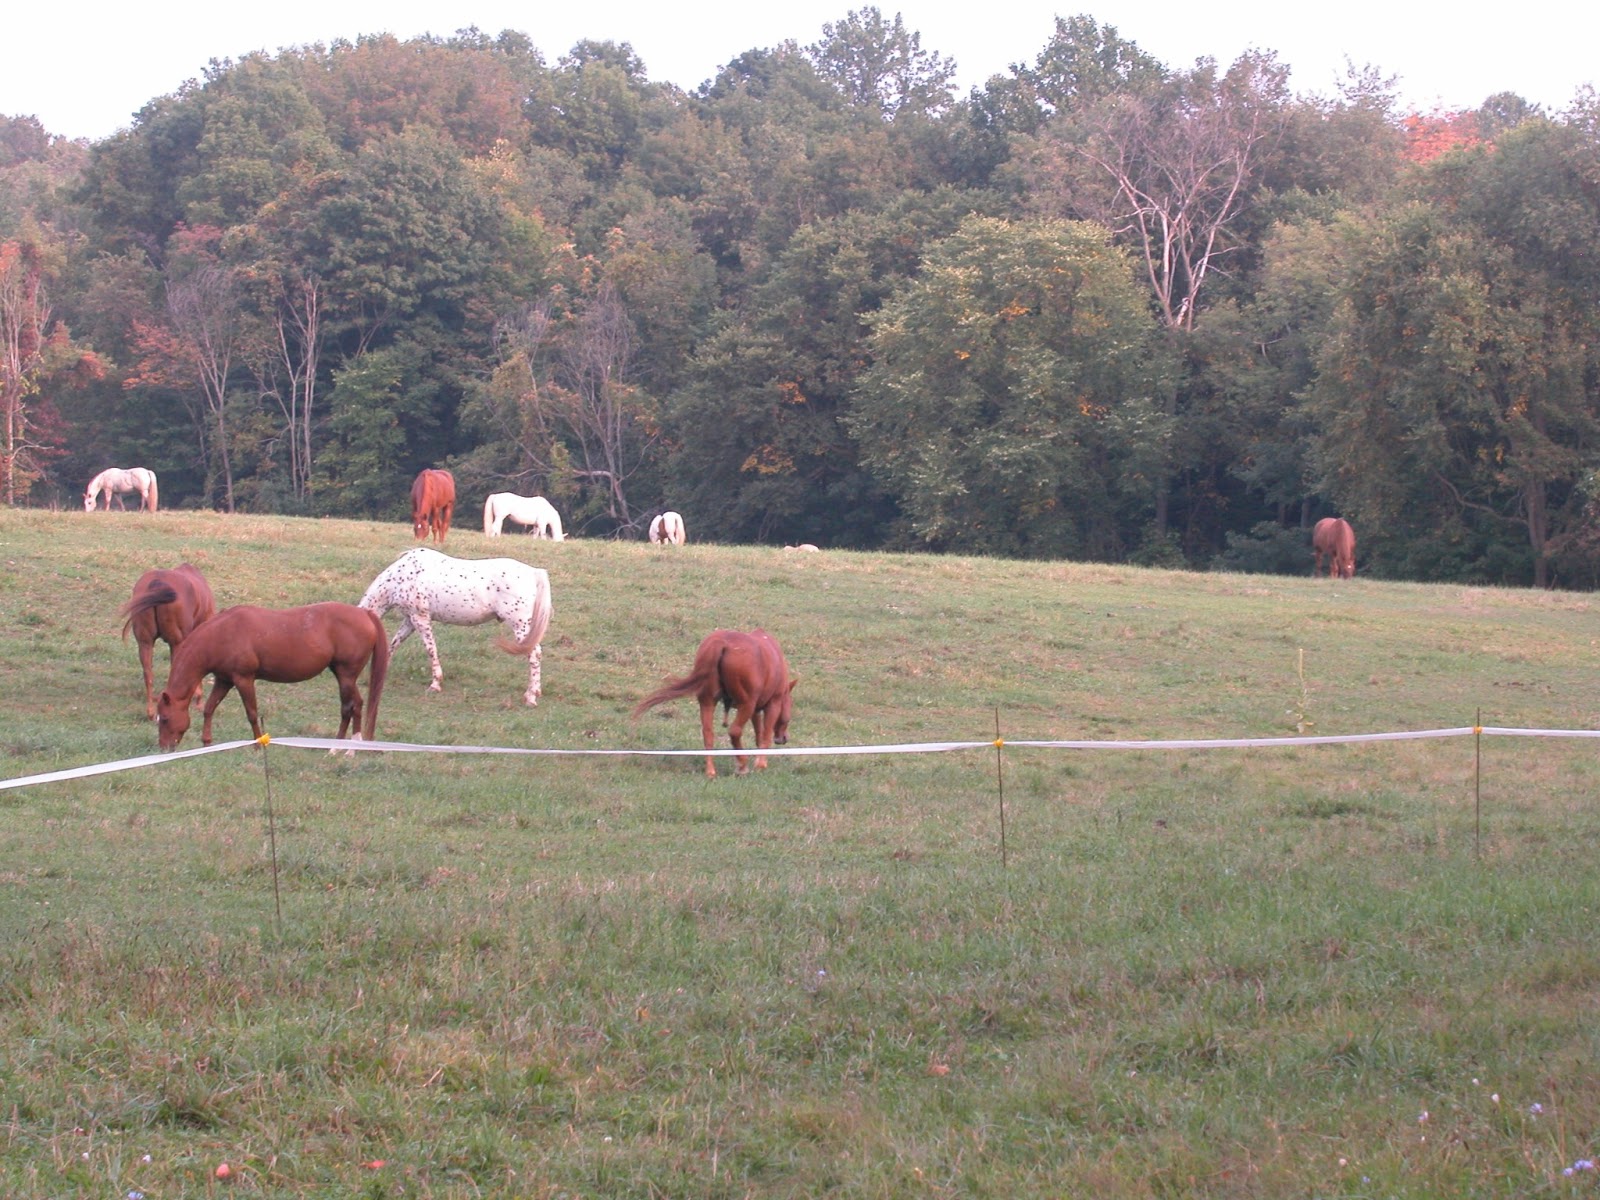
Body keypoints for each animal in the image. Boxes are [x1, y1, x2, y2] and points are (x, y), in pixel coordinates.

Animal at [155, 602, 388, 751]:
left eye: (164, 719)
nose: (165, 748)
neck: (222, 633)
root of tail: (365, 614)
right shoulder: (224, 680)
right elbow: (209, 708)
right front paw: (207, 743)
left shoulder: (243, 679)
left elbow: (251, 713)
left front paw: (257, 746)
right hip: (342, 675)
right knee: (353, 707)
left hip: (346, 675)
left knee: (352, 707)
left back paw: (343, 750)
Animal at [359, 547, 553, 706]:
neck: (401, 576)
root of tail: (533, 572)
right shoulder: (410, 620)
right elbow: (394, 644)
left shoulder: (420, 618)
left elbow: (431, 649)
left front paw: (435, 684)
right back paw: (535, 691)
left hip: (520, 625)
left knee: (534, 654)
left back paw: (530, 697)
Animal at [633, 629, 796, 777]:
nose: (783, 738)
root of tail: (722, 642)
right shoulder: (772, 704)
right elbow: (766, 734)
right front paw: (761, 764)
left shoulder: (755, 710)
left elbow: (759, 734)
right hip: (746, 704)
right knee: (734, 731)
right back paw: (742, 765)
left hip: (708, 702)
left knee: (708, 734)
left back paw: (711, 771)